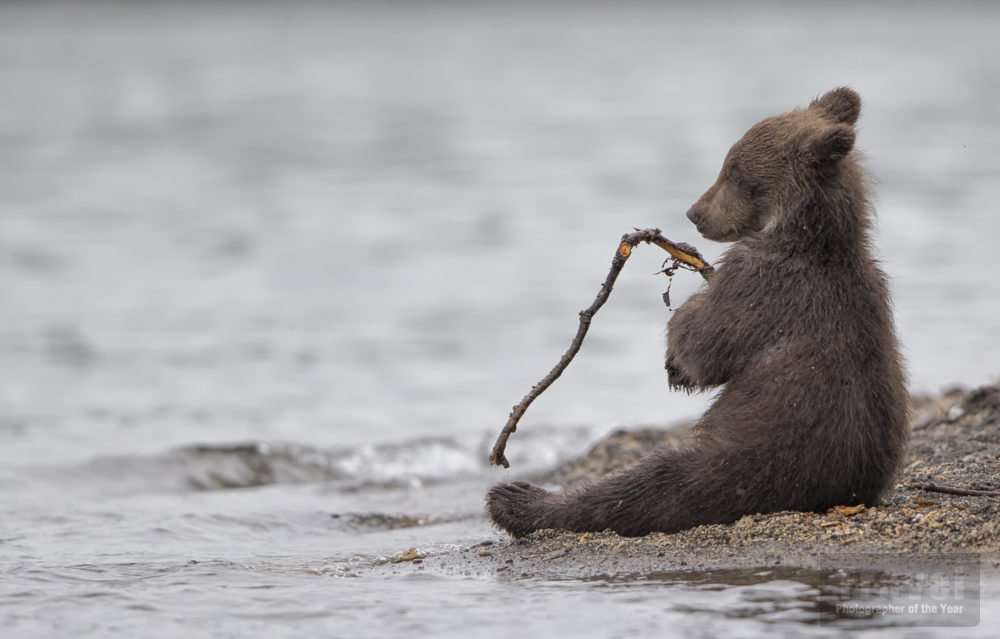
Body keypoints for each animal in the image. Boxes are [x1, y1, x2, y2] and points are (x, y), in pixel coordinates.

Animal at [486, 87, 909, 538]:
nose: (694, 212)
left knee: (642, 487)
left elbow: (706, 341)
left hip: (740, 463)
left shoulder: (761, 285)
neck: (809, 236)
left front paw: (677, 357)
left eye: (735, 173)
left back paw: (517, 499)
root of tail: (841, 492)